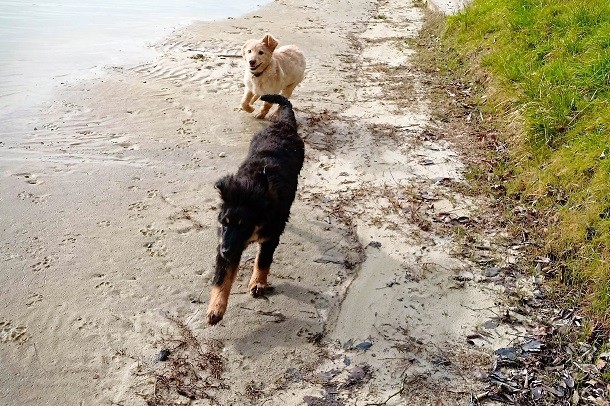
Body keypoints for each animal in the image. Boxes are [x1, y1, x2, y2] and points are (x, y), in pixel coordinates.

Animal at [207, 93, 304, 326]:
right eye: (224, 223)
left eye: (244, 226)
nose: (224, 251)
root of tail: (282, 124)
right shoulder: (227, 243)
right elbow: (221, 278)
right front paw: (216, 310)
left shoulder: (270, 236)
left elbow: (263, 261)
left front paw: (258, 284)